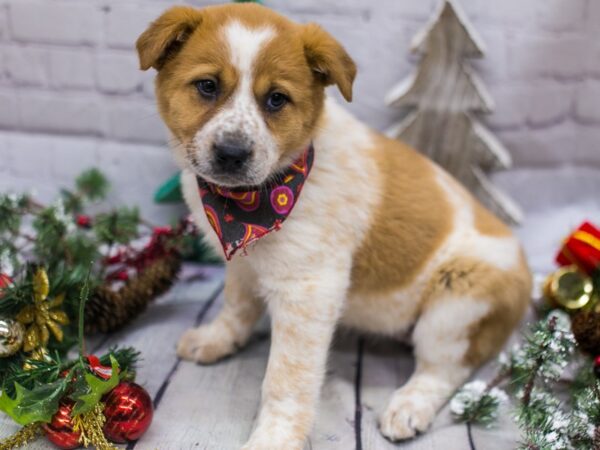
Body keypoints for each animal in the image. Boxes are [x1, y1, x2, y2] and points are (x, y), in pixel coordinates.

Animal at [138, 4, 532, 450]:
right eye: (207, 86)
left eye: (276, 99)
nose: (232, 153)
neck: (251, 205)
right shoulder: (243, 263)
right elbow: (236, 308)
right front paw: (216, 340)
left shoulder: (308, 290)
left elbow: (286, 378)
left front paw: (275, 436)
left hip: (457, 301)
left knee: (444, 369)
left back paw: (408, 406)